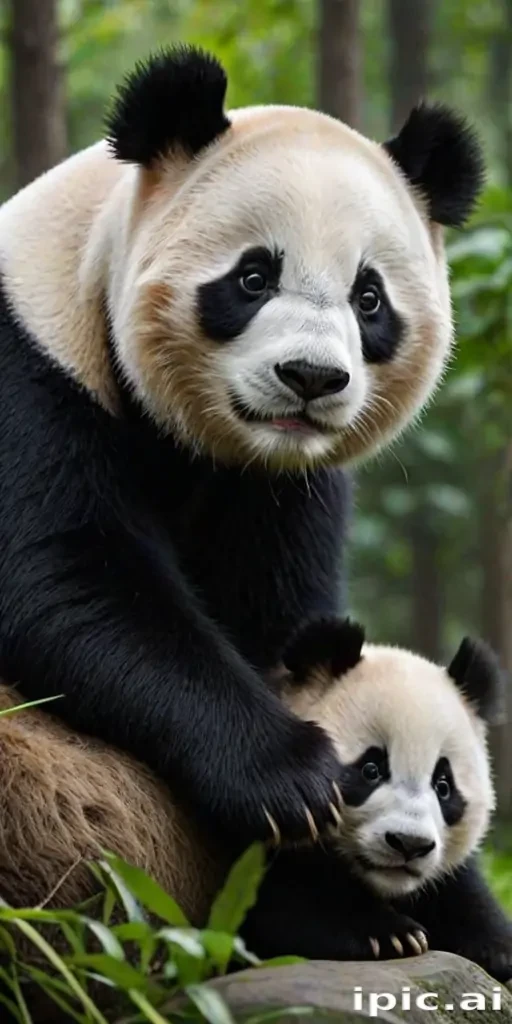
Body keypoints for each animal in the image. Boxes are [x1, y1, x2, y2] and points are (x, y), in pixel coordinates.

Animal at [0, 47, 485, 847]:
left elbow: (283, 617)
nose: (311, 377)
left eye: (369, 298)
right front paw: (290, 777)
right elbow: (70, 579)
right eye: (254, 277)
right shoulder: (34, 367)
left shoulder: (286, 485)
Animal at [0, 620, 509, 985]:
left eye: (443, 785)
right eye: (371, 768)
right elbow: (283, 906)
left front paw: (494, 946)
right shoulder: (250, 829)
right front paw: (389, 934)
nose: (408, 844)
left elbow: (462, 892)